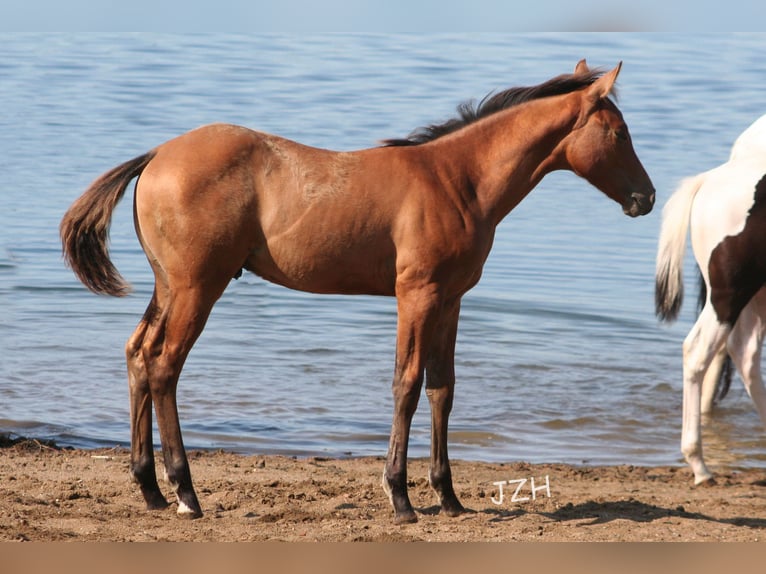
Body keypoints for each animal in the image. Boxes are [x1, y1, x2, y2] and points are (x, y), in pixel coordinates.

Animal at [63, 59, 656, 528]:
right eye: (619, 133)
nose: (646, 198)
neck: (456, 180)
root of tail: (157, 156)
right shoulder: (416, 294)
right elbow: (406, 385)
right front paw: (401, 498)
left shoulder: (451, 300)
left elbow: (443, 389)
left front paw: (449, 497)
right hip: (196, 288)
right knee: (164, 366)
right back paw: (186, 493)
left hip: (168, 287)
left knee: (138, 354)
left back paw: (150, 490)